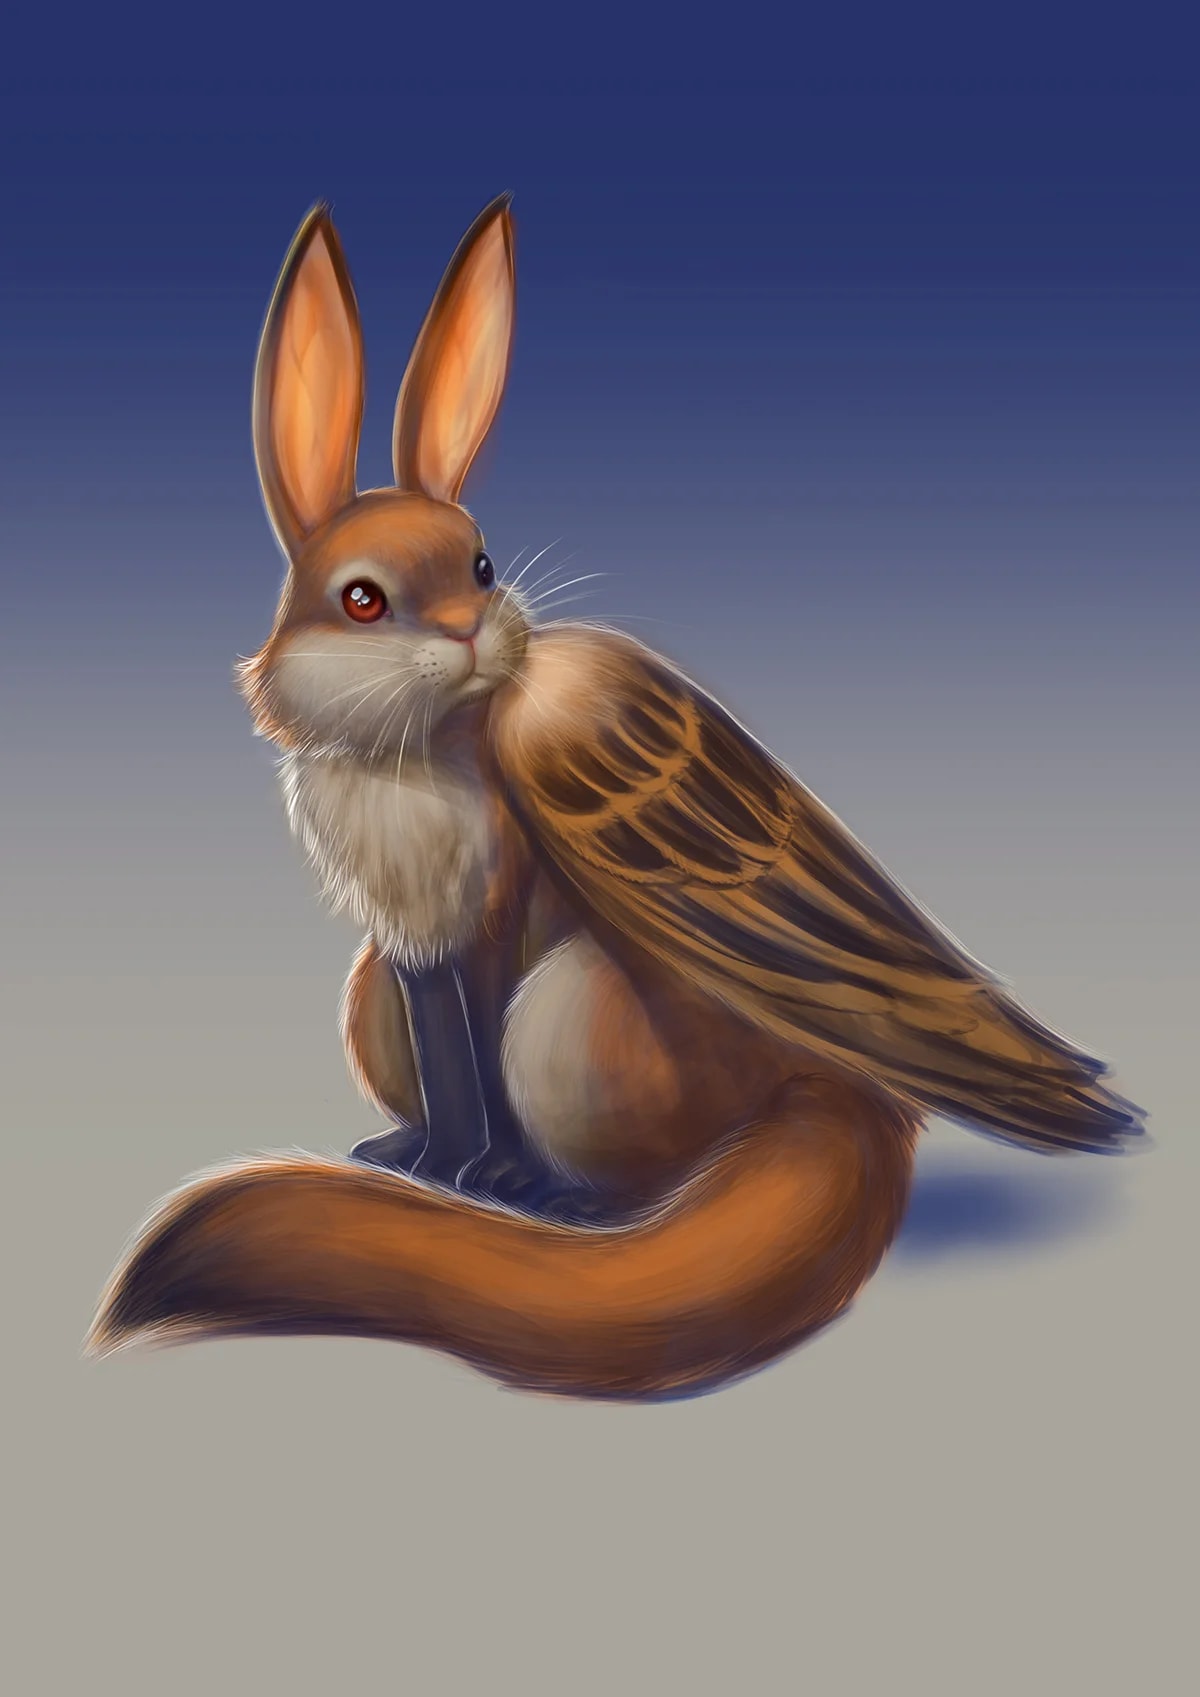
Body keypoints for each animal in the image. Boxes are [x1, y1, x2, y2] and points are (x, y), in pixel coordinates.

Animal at [87, 195, 1144, 1400]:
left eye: (482, 565)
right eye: (364, 600)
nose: (472, 634)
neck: (415, 766)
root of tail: (839, 1085)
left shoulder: (498, 904)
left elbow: (485, 1082)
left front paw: (489, 1175)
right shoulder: (410, 944)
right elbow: (449, 1068)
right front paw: (438, 1165)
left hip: (572, 1009)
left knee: (630, 1159)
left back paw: (559, 1197)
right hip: (369, 997)